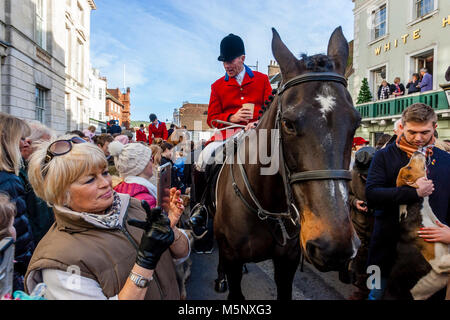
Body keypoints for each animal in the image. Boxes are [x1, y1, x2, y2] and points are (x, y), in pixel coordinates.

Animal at [211, 26, 362, 300]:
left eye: (356, 122)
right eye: (288, 123)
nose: (334, 247)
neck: (266, 206)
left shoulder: (287, 263)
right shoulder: (231, 258)